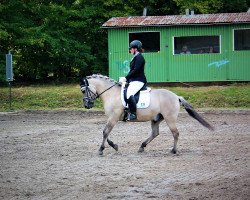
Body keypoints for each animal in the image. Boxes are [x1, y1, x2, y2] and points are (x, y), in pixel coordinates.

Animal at [79, 74, 213, 155]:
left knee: (175, 133)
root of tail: (176, 96)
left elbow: (105, 132)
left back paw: (173, 150)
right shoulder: (112, 118)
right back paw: (142, 147)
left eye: (83, 90)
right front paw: (114, 146)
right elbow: (106, 133)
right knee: (155, 133)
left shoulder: (113, 117)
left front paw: (101, 150)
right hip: (157, 118)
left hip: (170, 118)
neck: (111, 93)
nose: (87, 105)